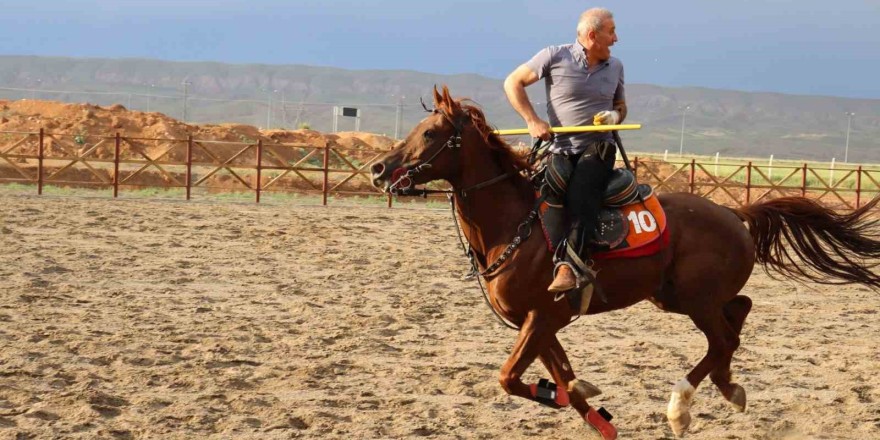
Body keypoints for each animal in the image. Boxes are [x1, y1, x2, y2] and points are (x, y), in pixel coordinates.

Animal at [368, 85, 876, 436]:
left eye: (430, 133)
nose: (378, 169)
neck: (516, 226)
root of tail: (734, 213)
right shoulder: (541, 322)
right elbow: (562, 373)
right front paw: (590, 409)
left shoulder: (542, 316)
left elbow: (511, 377)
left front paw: (560, 396)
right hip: (674, 297)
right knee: (738, 317)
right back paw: (729, 387)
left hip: (696, 300)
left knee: (722, 339)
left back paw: (681, 407)